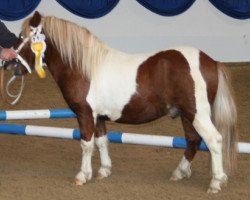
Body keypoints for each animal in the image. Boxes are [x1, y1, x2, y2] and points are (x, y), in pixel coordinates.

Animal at [12, 11, 237, 193]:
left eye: (23, 37)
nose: (10, 64)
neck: (84, 68)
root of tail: (211, 61)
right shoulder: (98, 116)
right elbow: (102, 141)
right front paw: (104, 170)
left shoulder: (85, 113)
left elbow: (86, 144)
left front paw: (83, 175)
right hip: (186, 115)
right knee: (193, 140)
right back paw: (180, 172)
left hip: (197, 114)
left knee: (214, 140)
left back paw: (216, 182)